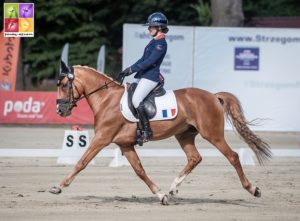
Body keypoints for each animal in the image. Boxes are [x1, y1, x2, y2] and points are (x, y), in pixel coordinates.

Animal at [51, 61, 272, 205]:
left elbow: (81, 162)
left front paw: (58, 187)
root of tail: (213, 96)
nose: (60, 111)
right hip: (184, 135)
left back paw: (253, 189)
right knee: (195, 158)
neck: (106, 99)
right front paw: (161, 195)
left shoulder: (101, 139)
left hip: (213, 135)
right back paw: (173, 188)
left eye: (65, 85)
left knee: (233, 156)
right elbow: (139, 171)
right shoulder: (125, 144)